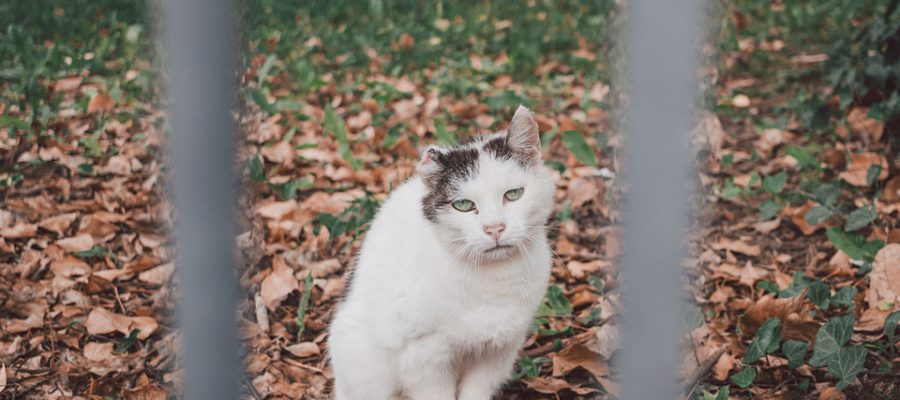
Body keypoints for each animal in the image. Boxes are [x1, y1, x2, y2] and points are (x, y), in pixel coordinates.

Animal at [330, 104, 556, 398]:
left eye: (514, 194)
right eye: (463, 205)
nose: (494, 228)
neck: (493, 282)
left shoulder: (499, 351)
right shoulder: (424, 358)